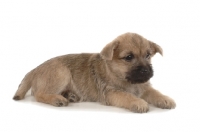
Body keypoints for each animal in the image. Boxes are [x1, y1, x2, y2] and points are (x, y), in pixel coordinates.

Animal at [12, 32, 175, 113]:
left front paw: (165, 99)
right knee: (39, 94)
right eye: (129, 57)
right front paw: (138, 102)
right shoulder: (111, 92)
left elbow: (155, 92)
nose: (146, 70)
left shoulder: (144, 87)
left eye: (148, 55)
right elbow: (127, 96)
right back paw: (57, 99)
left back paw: (69, 95)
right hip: (61, 72)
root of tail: (35, 69)